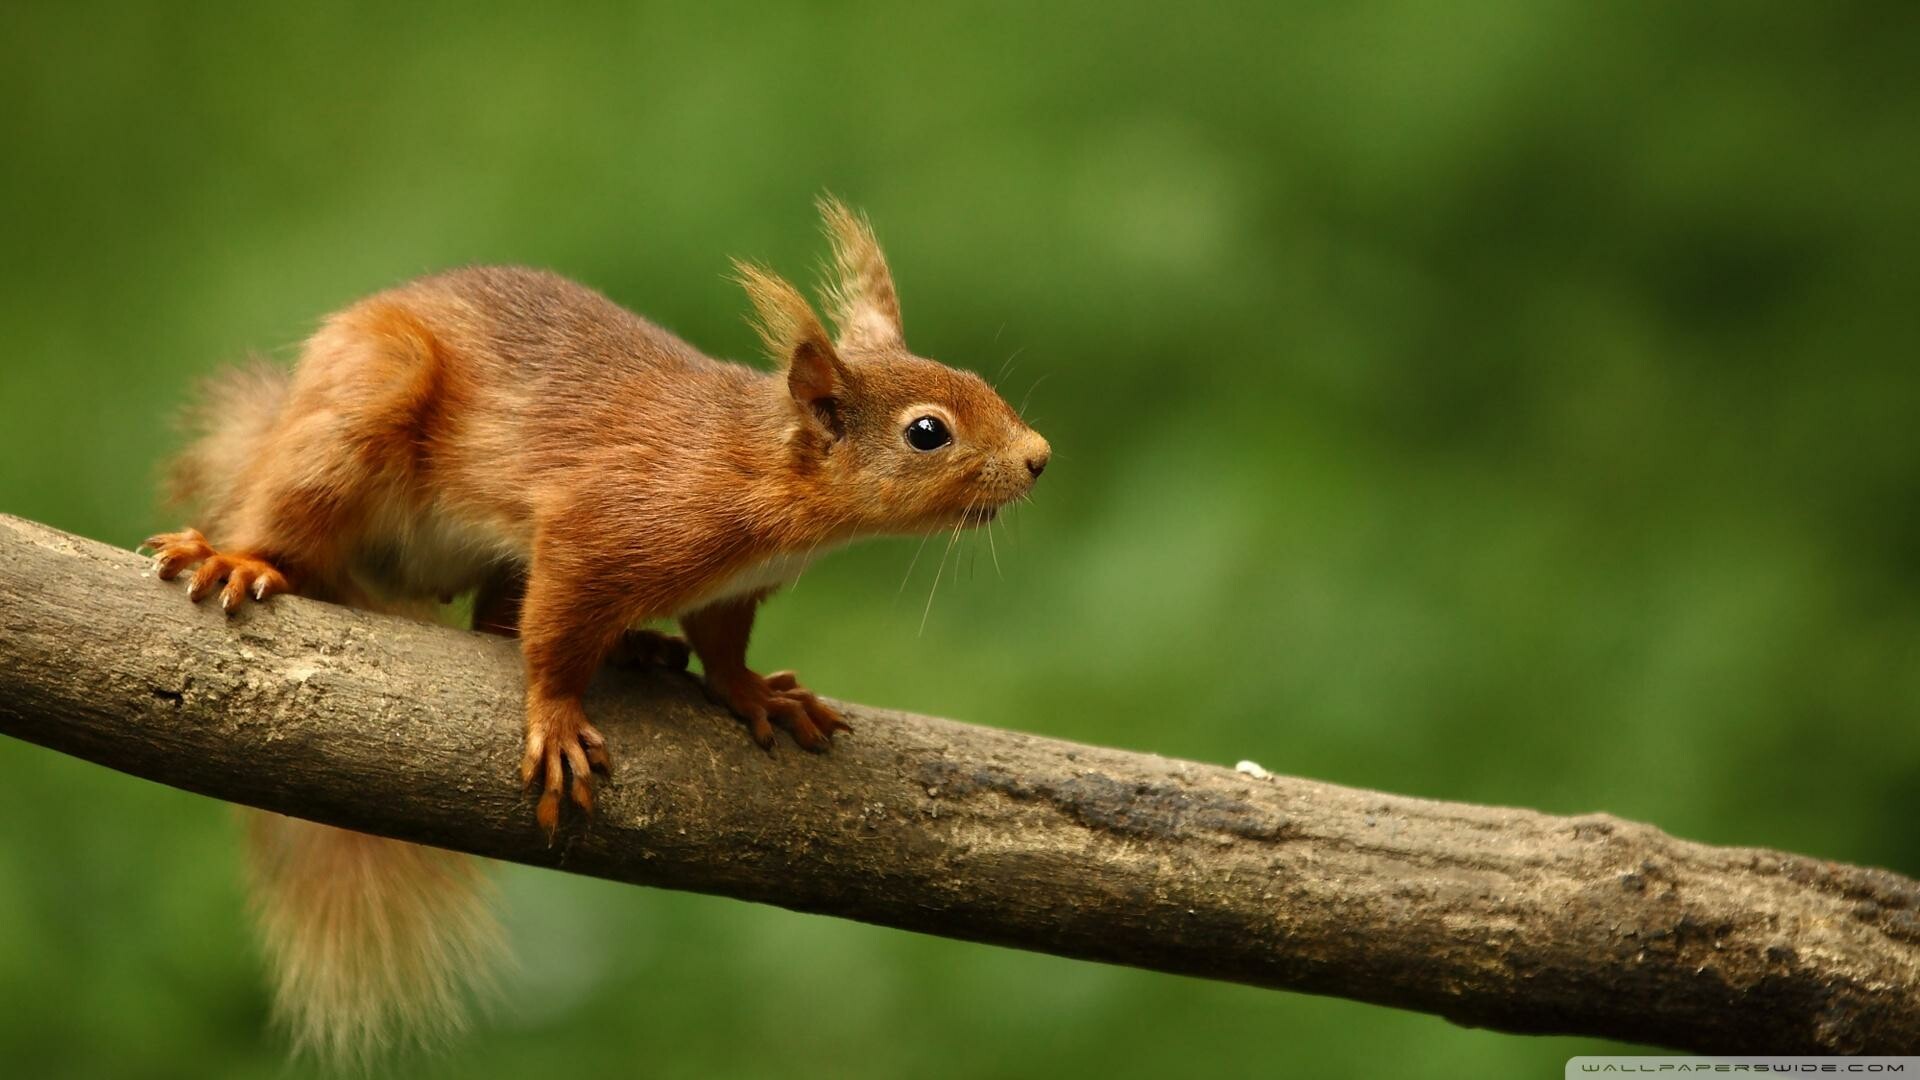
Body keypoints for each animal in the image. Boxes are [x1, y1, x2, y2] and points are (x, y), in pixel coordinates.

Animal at [143, 198, 1049, 1061]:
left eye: (972, 378)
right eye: (927, 432)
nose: (1040, 457)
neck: (760, 470)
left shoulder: (732, 588)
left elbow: (721, 646)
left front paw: (757, 694)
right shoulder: (600, 530)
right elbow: (554, 637)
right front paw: (555, 721)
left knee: (492, 619)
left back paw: (638, 646)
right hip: (362, 407)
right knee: (295, 516)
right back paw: (236, 556)